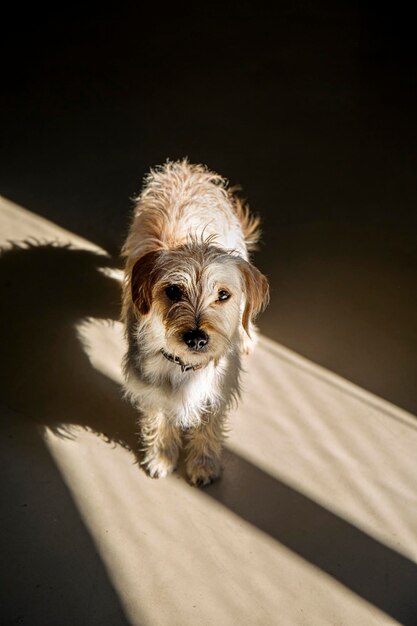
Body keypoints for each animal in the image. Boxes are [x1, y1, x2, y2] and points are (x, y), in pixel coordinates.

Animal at [122, 158, 268, 486]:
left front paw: (203, 463)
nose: (197, 338)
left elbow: (208, 425)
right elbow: (158, 418)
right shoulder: (148, 384)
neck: (186, 366)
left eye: (223, 295)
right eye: (174, 291)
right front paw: (162, 456)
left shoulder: (219, 387)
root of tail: (188, 168)